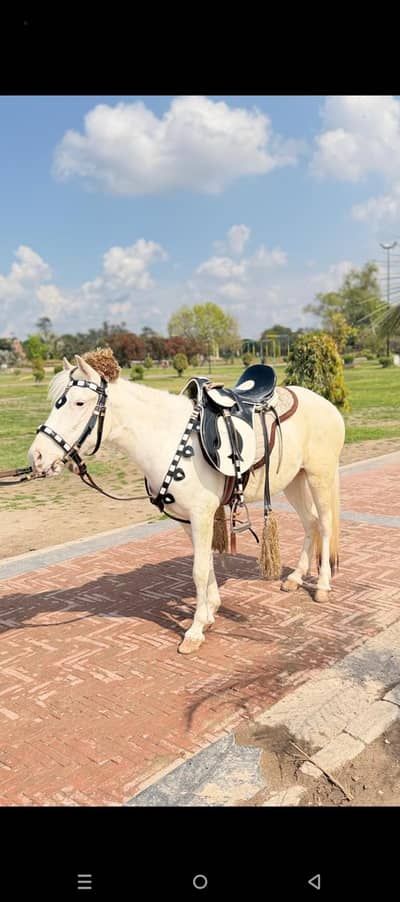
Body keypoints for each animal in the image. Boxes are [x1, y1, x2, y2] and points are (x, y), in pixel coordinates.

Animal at [28, 350, 345, 655]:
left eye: (79, 402)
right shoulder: (185, 519)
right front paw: (209, 612)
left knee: (324, 525)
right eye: (57, 402)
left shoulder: (201, 515)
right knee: (310, 523)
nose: (37, 456)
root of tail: (326, 405)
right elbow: (205, 564)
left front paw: (194, 631)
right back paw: (295, 578)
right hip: (294, 480)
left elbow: (199, 570)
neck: (168, 439)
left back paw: (323, 585)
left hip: (319, 476)